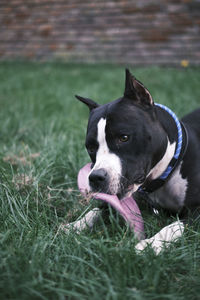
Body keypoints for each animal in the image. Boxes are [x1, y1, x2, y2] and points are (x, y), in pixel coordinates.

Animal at [64, 69, 200, 254]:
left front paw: (150, 244)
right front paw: (75, 225)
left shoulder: (197, 211)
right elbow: (98, 209)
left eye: (124, 138)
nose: (95, 177)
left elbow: (174, 226)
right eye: (90, 147)